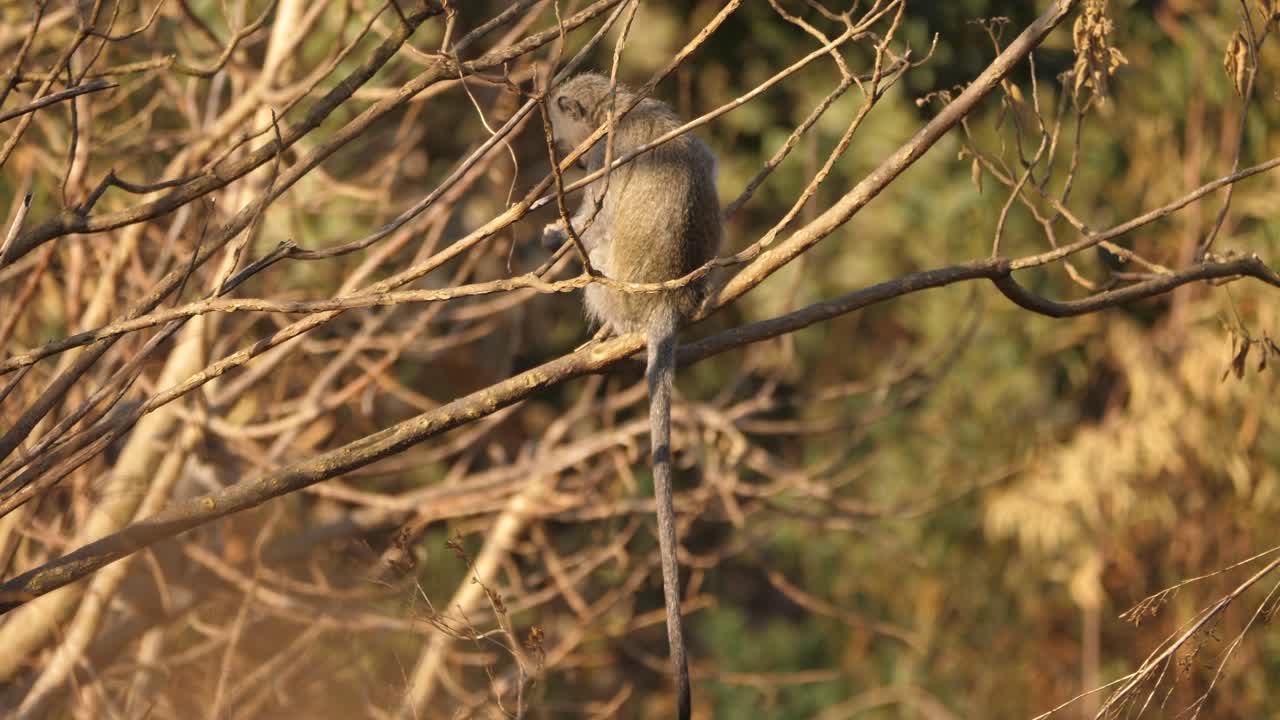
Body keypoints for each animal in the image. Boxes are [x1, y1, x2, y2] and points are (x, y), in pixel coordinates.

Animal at [542, 72, 722, 720]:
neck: (619, 107)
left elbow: (596, 219)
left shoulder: (608, 155)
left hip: (613, 288)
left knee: (598, 249)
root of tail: (666, 301)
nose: (570, 156)